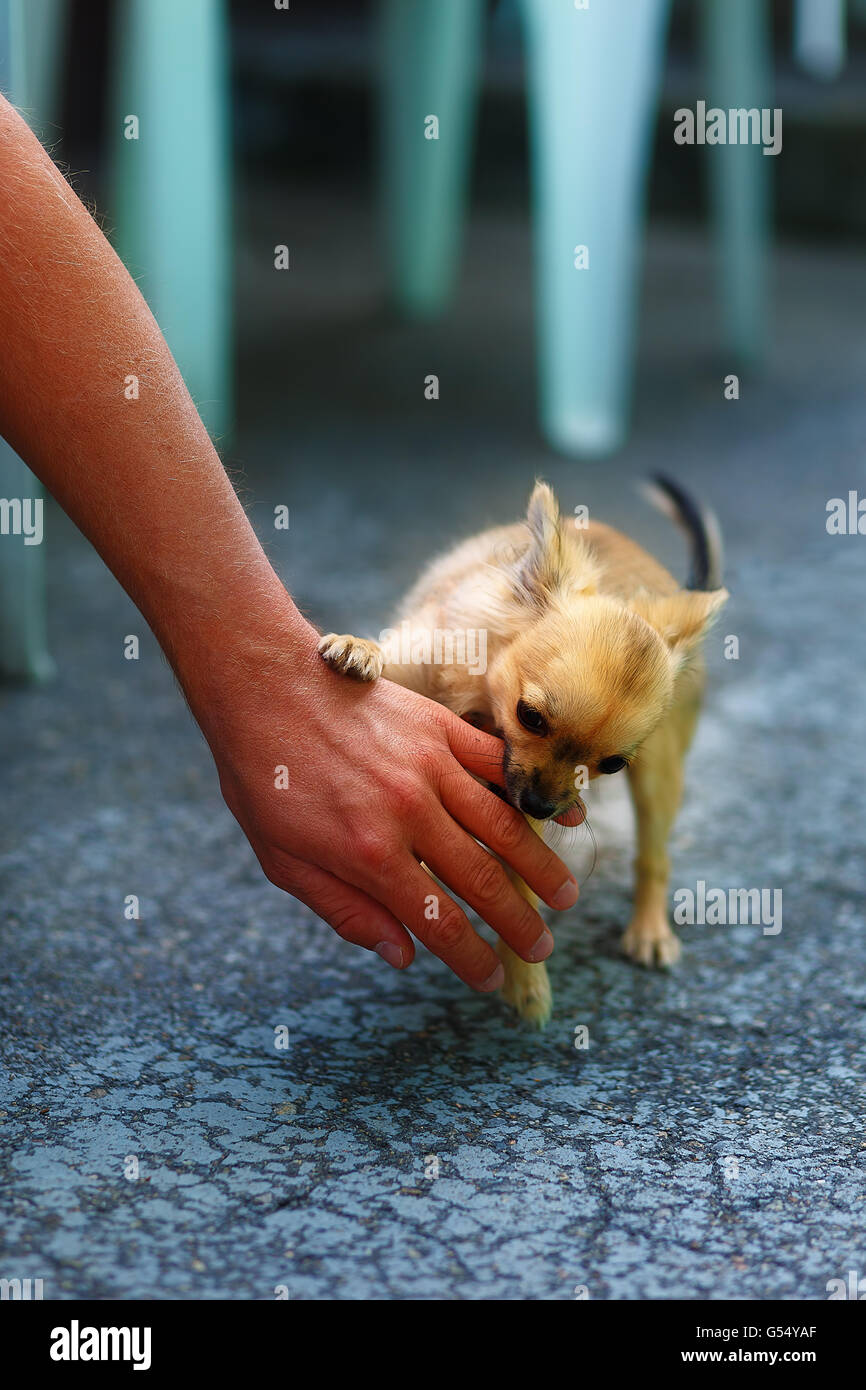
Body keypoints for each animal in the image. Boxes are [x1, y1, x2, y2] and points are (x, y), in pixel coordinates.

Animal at [316, 483, 722, 1028]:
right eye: (530, 716)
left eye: (612, 764)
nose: (540, 806)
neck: (481, 702)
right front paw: (358, 649)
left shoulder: (518, 817)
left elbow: (521, 897)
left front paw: (527, 983)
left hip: (660, 781)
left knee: (653, 856)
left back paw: (650, 930)